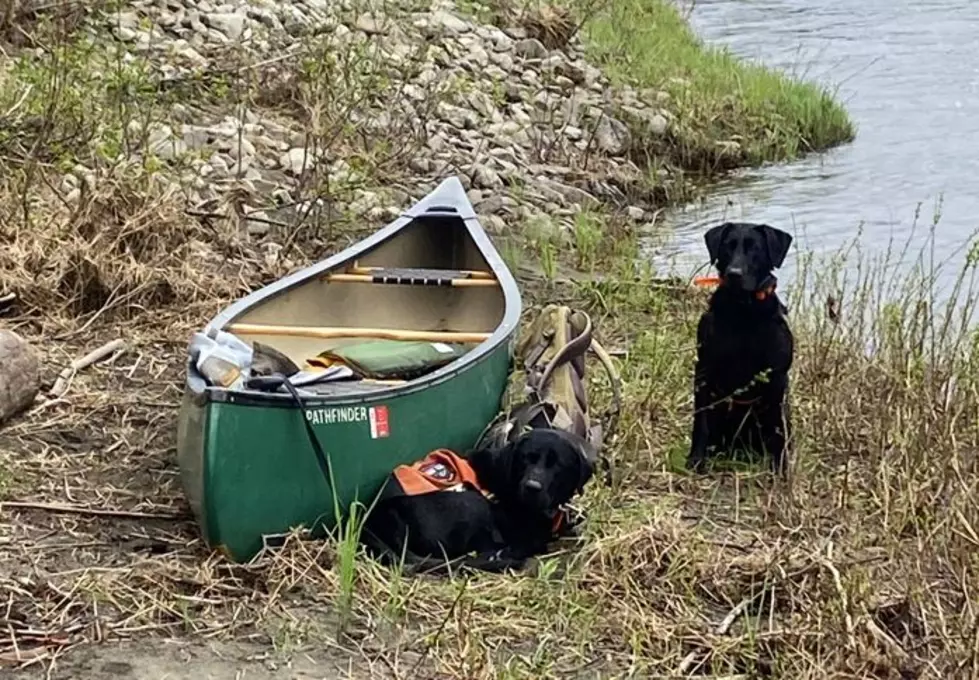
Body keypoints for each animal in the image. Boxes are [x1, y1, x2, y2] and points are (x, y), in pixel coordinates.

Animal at [688, 220, 796, 476]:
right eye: (728, 246)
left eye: (755, 248)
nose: (734, 274)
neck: (744, 312)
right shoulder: (703, 370)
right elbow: (700, 421)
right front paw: (696, 458)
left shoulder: (777, 377)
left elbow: (777, 430)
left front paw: (780, 468)